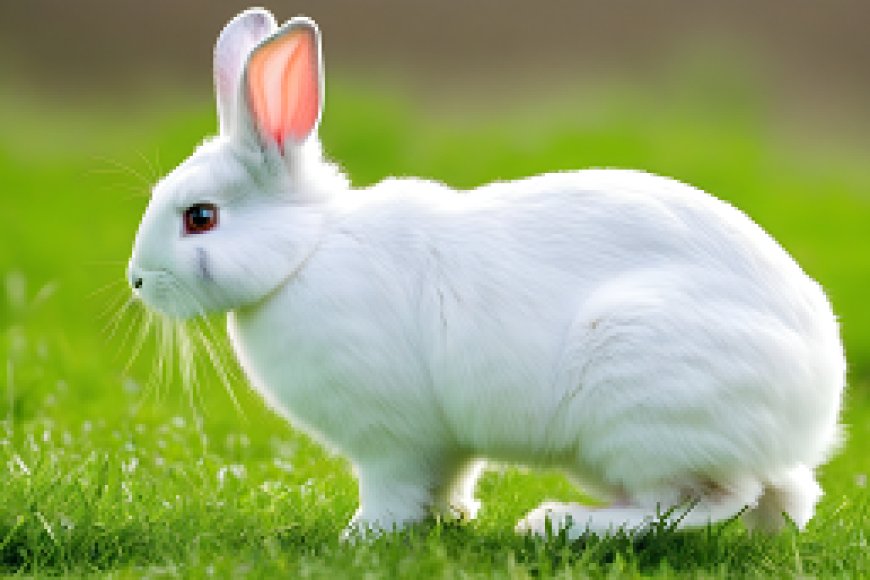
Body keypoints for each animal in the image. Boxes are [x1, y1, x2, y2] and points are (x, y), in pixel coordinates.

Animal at [127, 8, 846, 539]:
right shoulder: (441, 444)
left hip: (644, 399)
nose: (137, 280)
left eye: (200, 218)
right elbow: (450, 479)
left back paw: (557, 523)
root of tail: (811, 409)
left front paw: (363, 535)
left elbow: (391, 488)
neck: (307, 250)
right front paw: (449, 519)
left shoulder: (392, 437)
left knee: (711, 499)